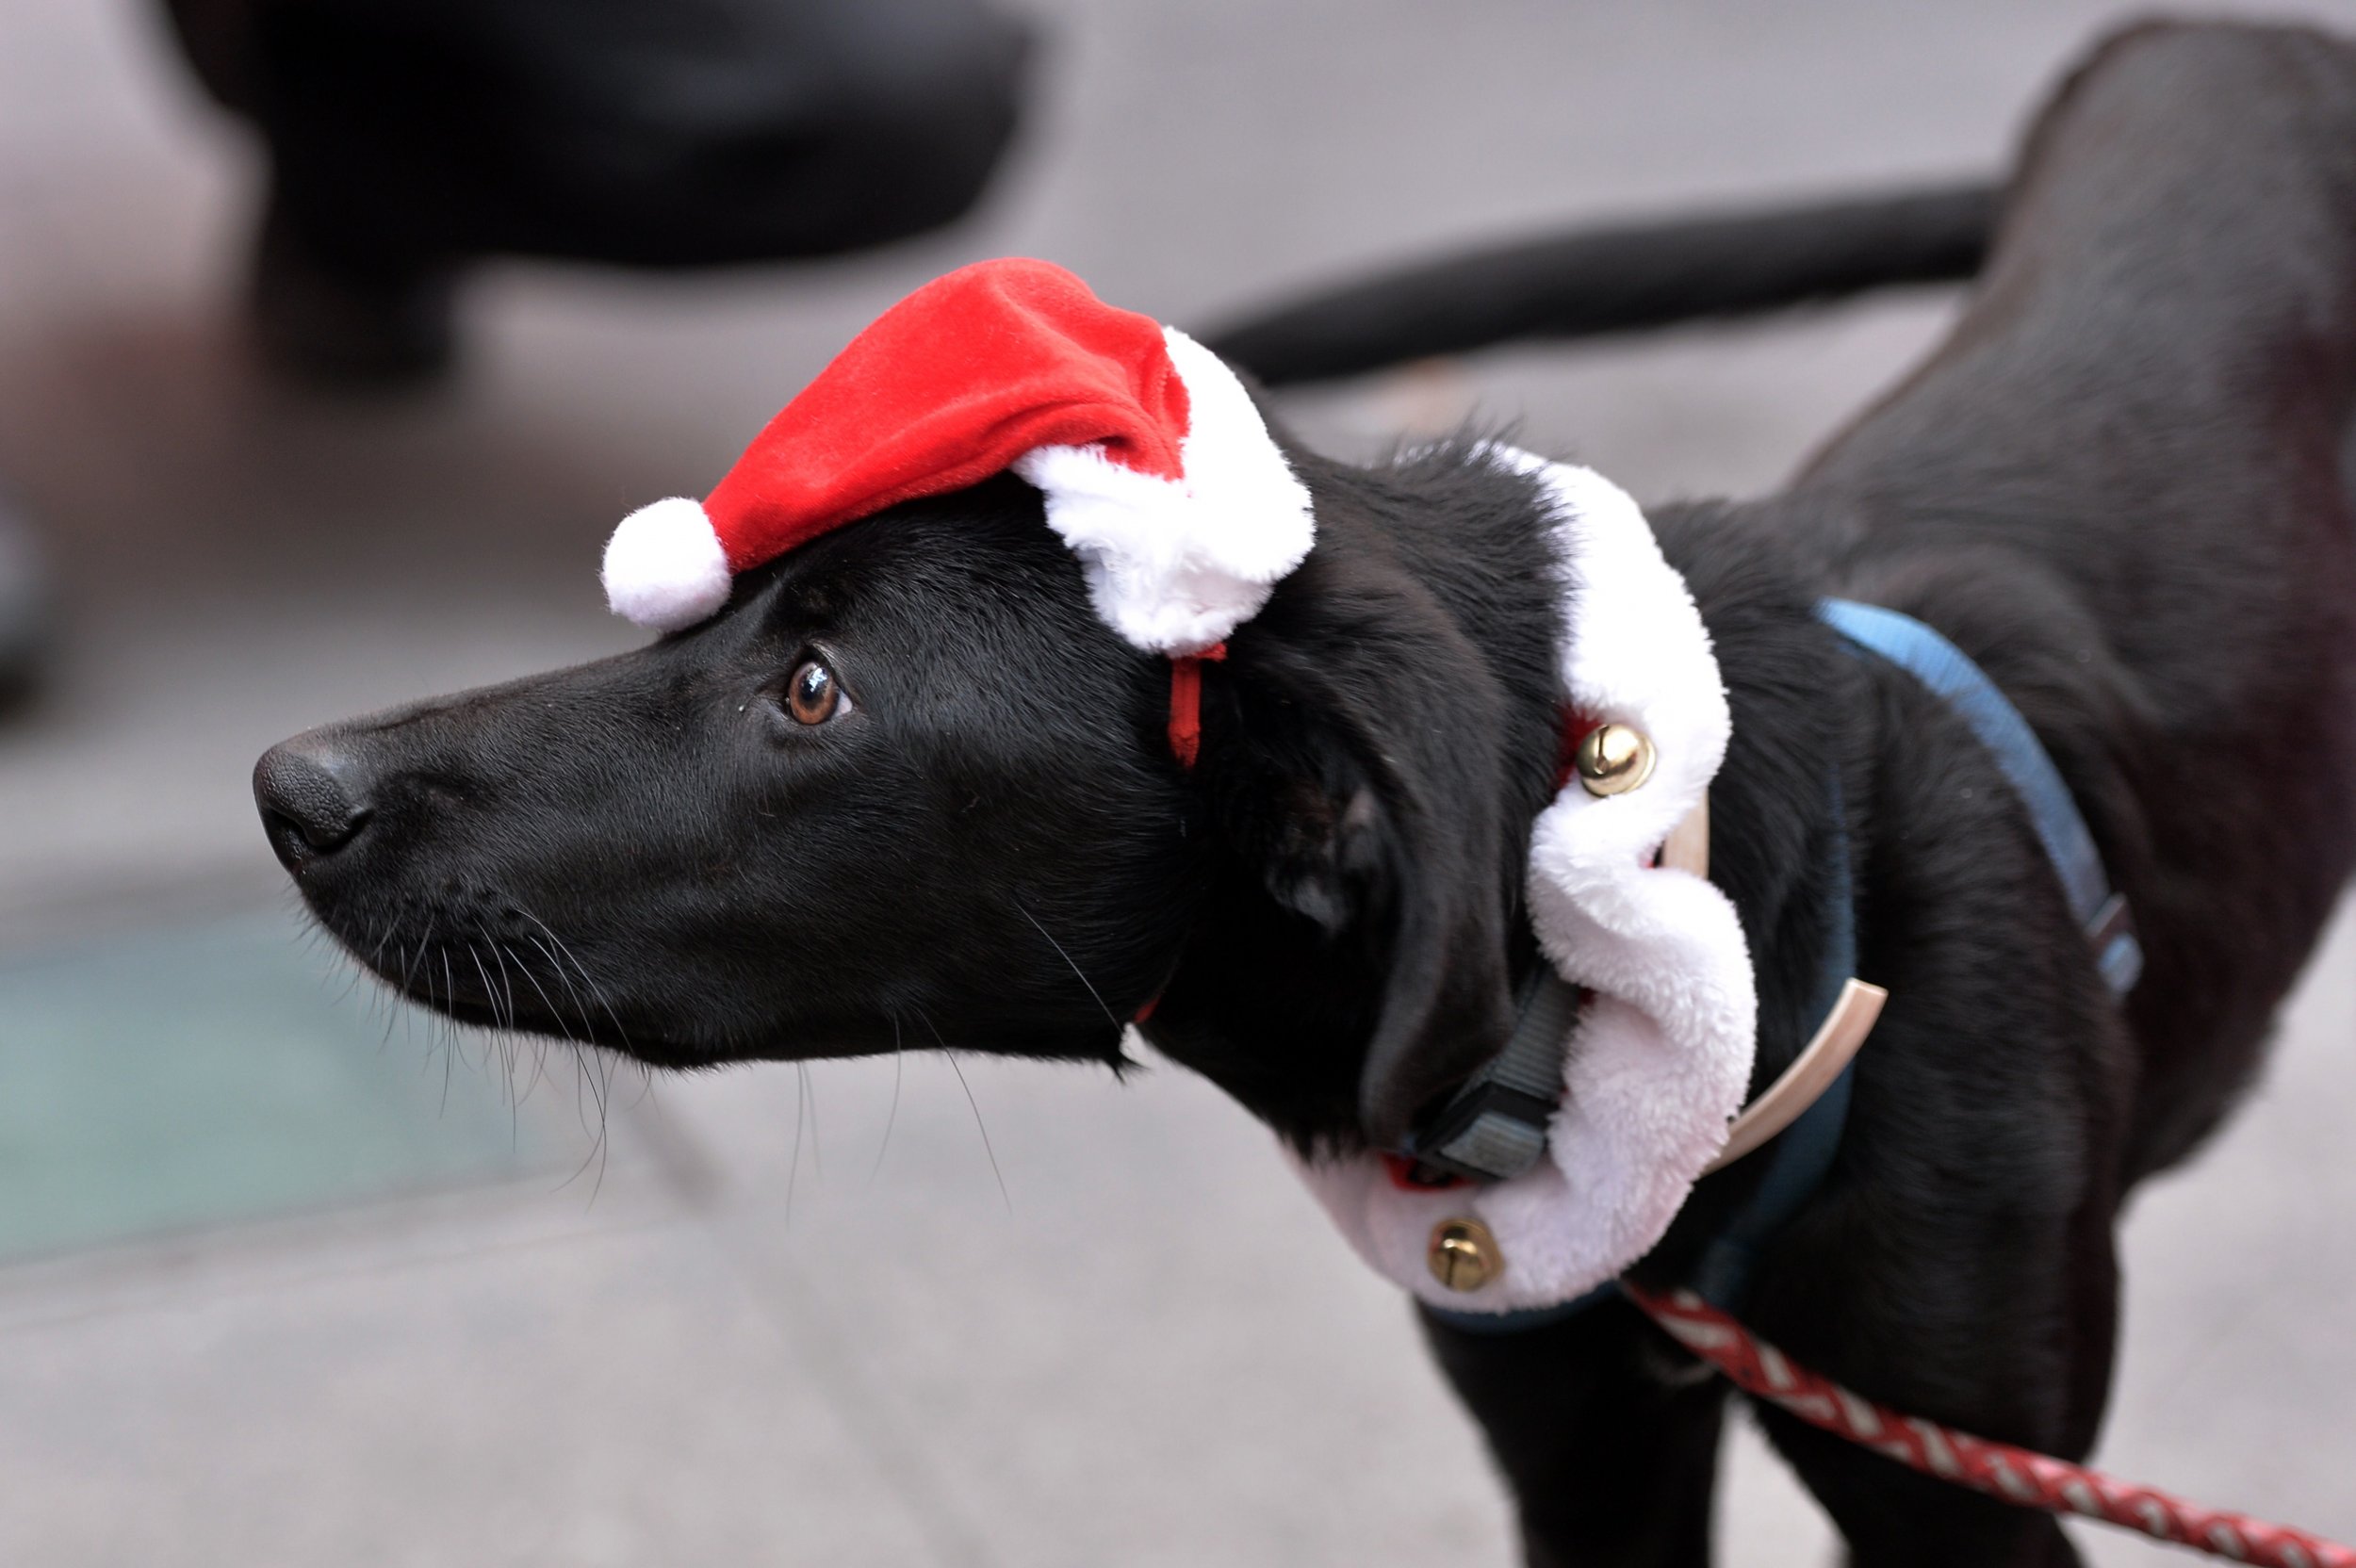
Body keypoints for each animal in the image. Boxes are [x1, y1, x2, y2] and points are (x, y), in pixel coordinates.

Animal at [253, 24, 2356, 1563]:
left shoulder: (1962, 1493)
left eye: (817, 689)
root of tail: (2231, 37)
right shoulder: (1578, 1437)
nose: (290, 786)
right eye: (743, 608)